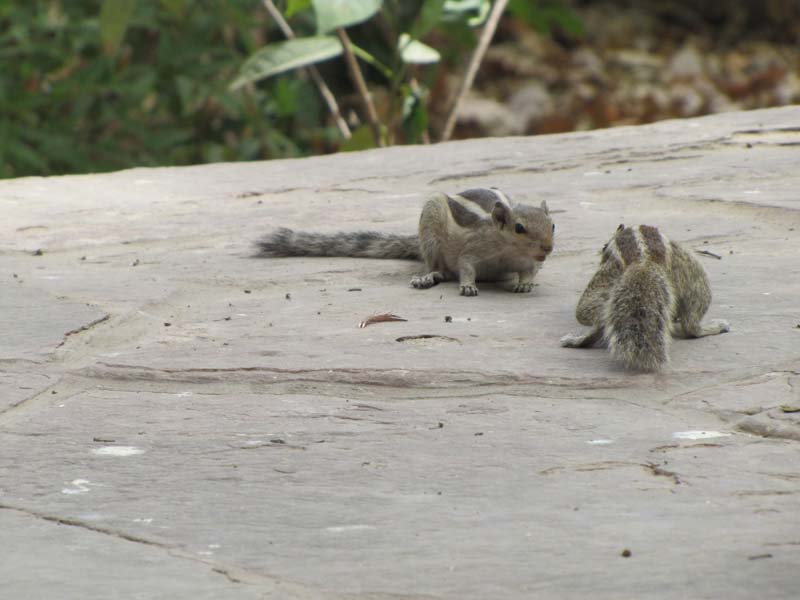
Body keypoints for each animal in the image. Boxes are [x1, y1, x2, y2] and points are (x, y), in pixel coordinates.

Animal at [258, 188, 556, 296]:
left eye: (552, 225)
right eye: (519, 228)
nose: (548, 248)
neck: (506, 249)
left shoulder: (527, 261)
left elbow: (529, 270)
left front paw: (525, 283)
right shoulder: (473, 250)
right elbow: (466, 267)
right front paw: (469, 286)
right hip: (431, 236)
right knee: (437, 268)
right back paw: (429, 277)